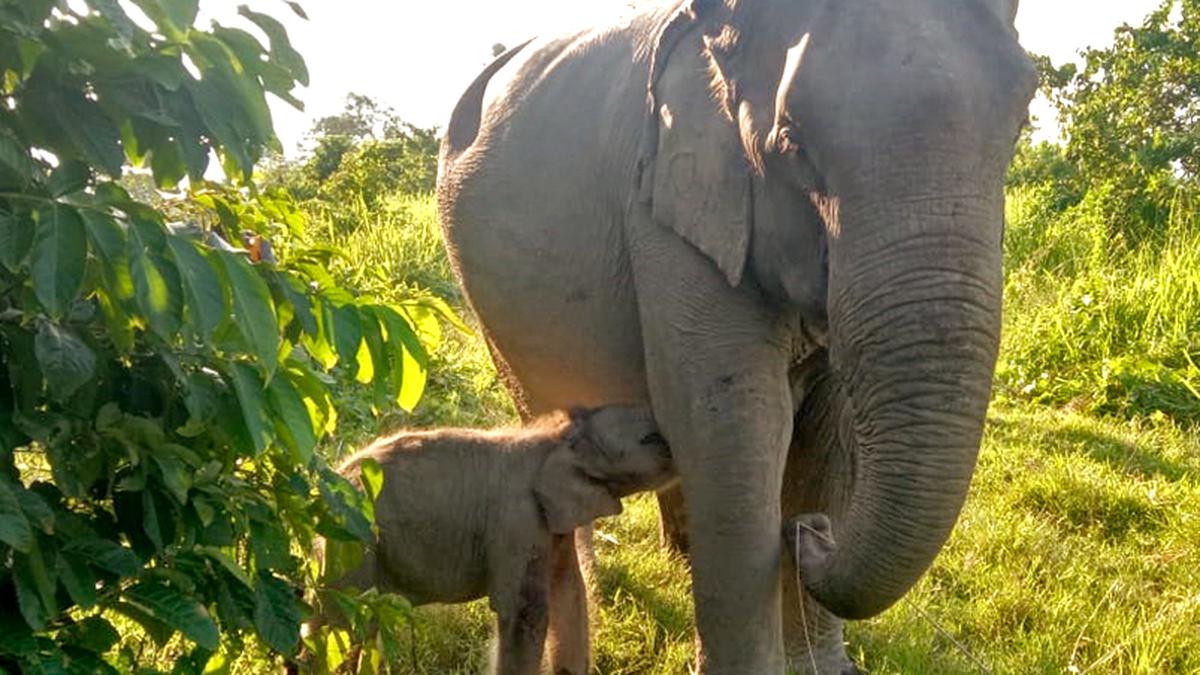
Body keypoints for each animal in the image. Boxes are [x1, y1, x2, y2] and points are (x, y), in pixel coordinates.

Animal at [318, 406, 675, 675]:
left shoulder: (553, 530)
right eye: (651, 438)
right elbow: (525, 613)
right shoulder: (516, 521)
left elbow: (570, 595)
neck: (555, 436)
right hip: (350, 545)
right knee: (341, 626)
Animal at [435, 0, 1035, 672]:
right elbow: (735, 422)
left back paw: (682, 556)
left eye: (1020, 124)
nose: (810, 531)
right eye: (792, 143)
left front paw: (822, 665)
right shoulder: (666, 212)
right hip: (487, 305)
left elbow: (828, 432)